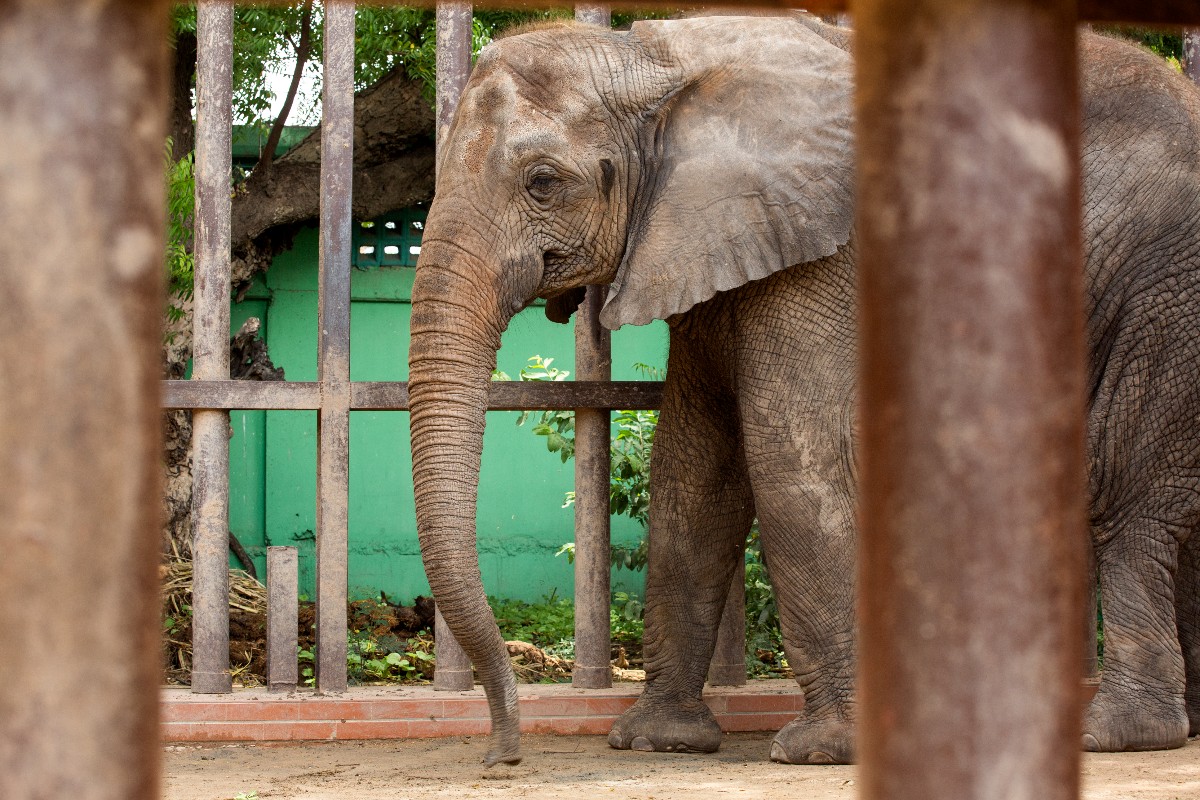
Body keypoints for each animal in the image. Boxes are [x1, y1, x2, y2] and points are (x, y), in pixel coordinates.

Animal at [407, 14, 1200, 766]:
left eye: (542, 181)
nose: (500, 755)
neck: (655, 62)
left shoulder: (825, 254)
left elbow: (789, 457)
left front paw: (823, 751)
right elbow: (692, 471)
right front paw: (658, 741)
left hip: (1163, 293)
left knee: (1123, 492)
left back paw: (1118, 733)